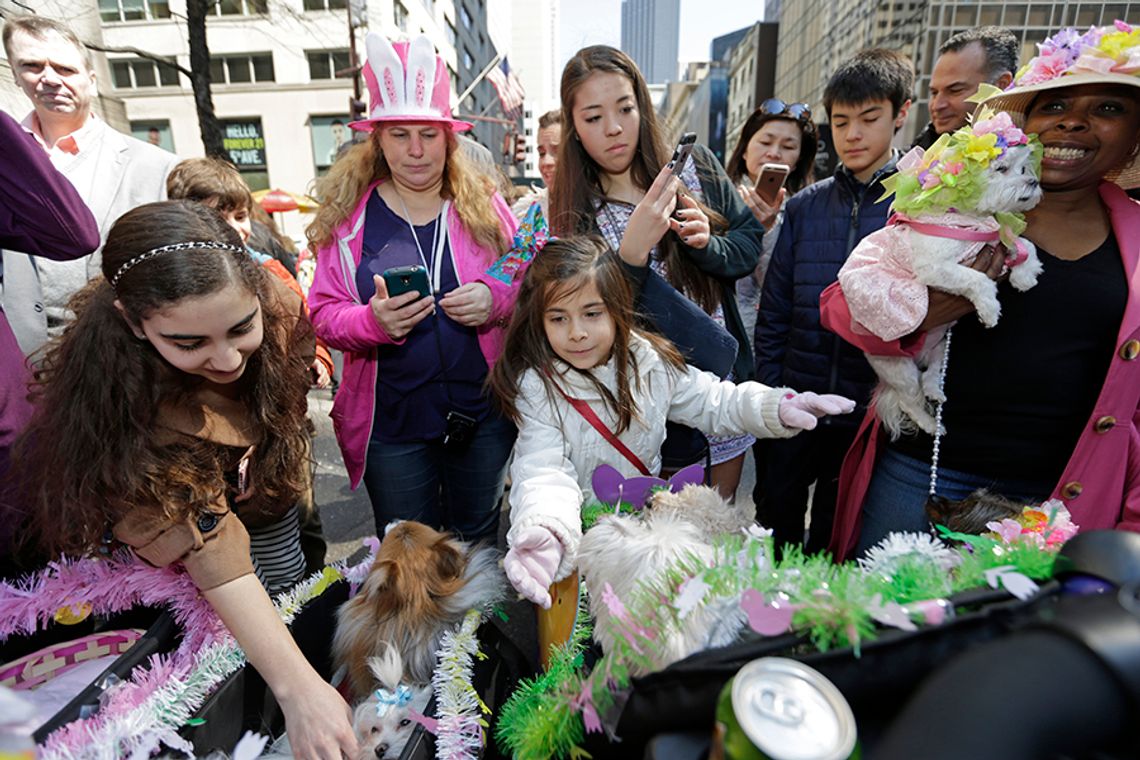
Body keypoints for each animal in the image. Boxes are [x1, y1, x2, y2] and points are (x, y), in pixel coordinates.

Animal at [839, 111, 1044, 439]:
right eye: (1001, 168)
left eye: (1024, 167)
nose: (1033, 181)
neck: (969, 219)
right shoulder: (935, 267)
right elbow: (977, 279)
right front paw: (990, 308)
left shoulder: (992, 237)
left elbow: (1022, 242)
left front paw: (1025, 274)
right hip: (898, 367)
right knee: (909, 398)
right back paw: (927, 422)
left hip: (940, 345)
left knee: (932, 374)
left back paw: (935, 392)